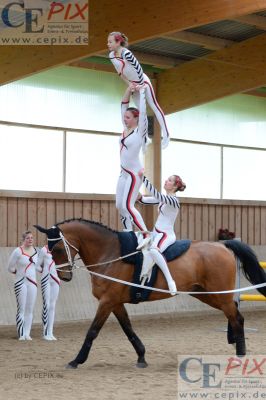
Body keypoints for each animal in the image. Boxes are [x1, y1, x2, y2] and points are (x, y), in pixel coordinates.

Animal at [34, 219, 266, 368]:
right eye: (50, 250)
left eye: (57, 249)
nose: (64, 276)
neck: (110, 252)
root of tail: (223, 245)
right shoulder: (115, 303)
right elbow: (128, 329)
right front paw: (141, 357)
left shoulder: (107, 301)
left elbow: (92, 331)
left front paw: (77, 360)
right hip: (207, 294)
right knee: (235, 313)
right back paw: (235, 344)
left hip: (219, 295)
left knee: (236, 317)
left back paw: (240, 354)